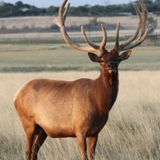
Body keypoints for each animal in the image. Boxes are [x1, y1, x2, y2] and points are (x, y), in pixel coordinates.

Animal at [14, 0, 149, 160]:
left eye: (117, 59)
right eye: (102, 60)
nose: (111, 65)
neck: (100, 104)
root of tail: (17, 94)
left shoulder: (96, 132)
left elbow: (92, 156)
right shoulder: (79, 129)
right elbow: (84, 156)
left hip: (43, 129)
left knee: (34, 152)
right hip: (28, 122)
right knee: (28, 151)